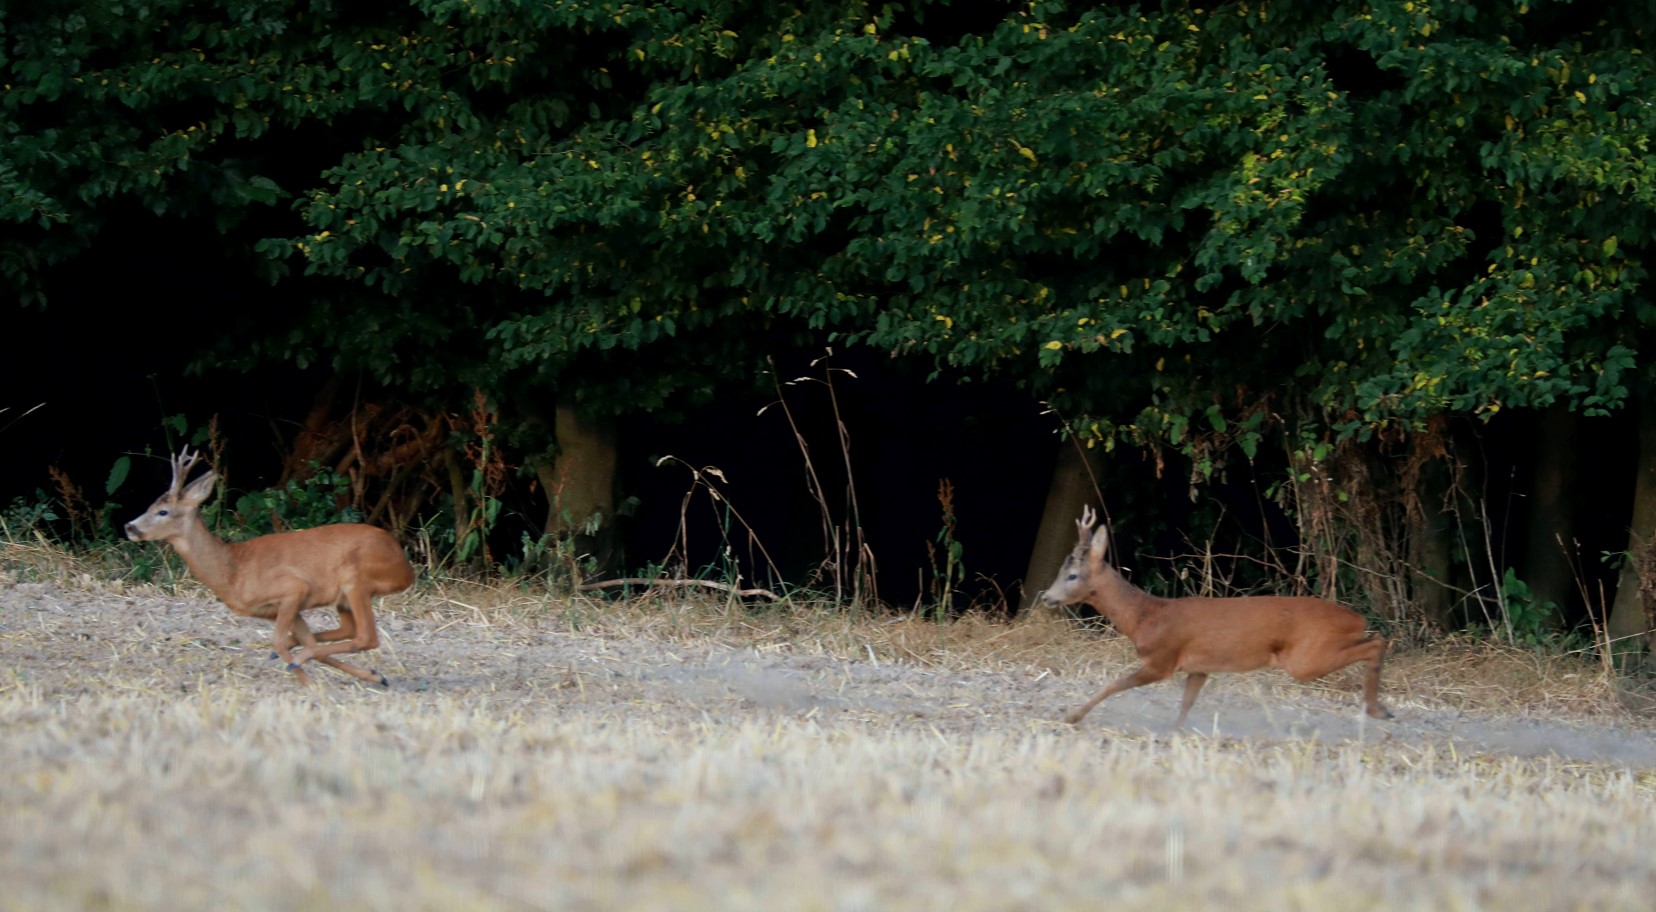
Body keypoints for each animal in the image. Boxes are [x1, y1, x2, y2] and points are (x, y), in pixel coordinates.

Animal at [125, 446, 414, 688]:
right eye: (151, 505)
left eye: (163, 512)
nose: (130, 527)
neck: (232, 571)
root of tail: (406, 569)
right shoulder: (284, 608)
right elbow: (297, 640)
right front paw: (369, 675)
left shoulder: (293, 588)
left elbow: (280, 639)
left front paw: (307, 680)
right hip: (343, 597)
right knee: (348, 631)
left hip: (356, 578)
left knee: (366, 637)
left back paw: (298, 659)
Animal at [1039, 506, 1391, 728]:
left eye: (1072, 575)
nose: (1046, 596)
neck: (1144, 617)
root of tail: (1357, 619)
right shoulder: (1199, 667)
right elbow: (1186, 702)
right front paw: (1177, 731)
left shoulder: (1162, 659)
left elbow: (1113, 684)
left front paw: (1072, 717)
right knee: (1375, 639)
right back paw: (1380, 707)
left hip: (1305, 657)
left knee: (1375, 643)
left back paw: (1376, 709)